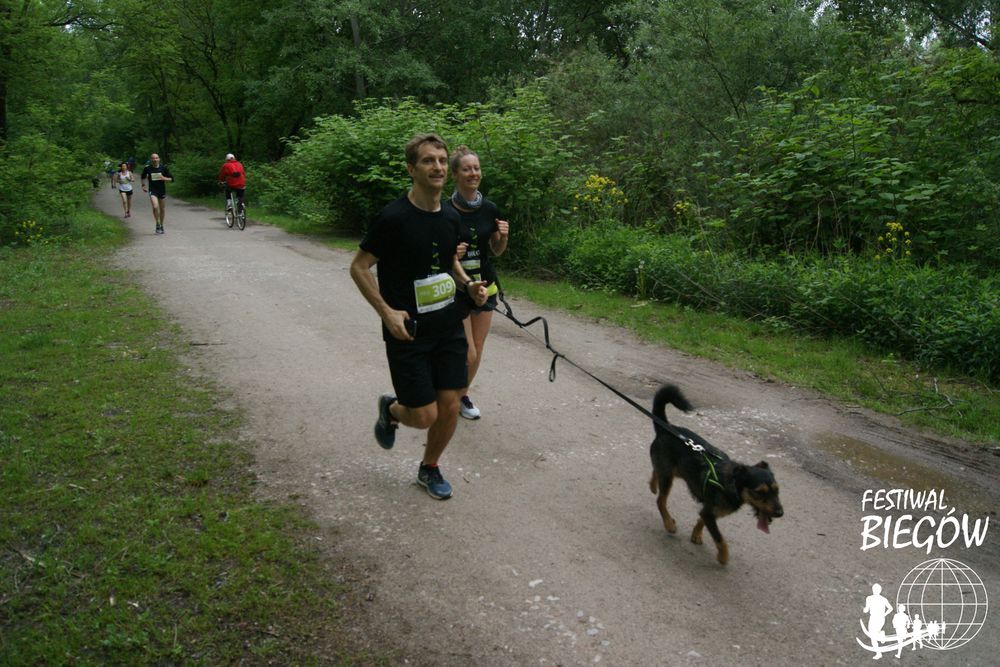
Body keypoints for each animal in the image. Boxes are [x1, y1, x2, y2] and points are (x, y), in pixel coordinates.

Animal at [648, 385, 783, 564]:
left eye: (777, 490)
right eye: (759, 492)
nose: (780, 513)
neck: (732, 484)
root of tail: (665, 429)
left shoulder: (709, 510)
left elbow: (701, 521)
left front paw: (696, 534)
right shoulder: (710, 512)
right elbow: (720, 539)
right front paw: (723, 556)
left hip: (673, 471)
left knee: (656, 472)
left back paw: (652, 485)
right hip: (668, 476)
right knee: (660, 501)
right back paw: (669, 524)